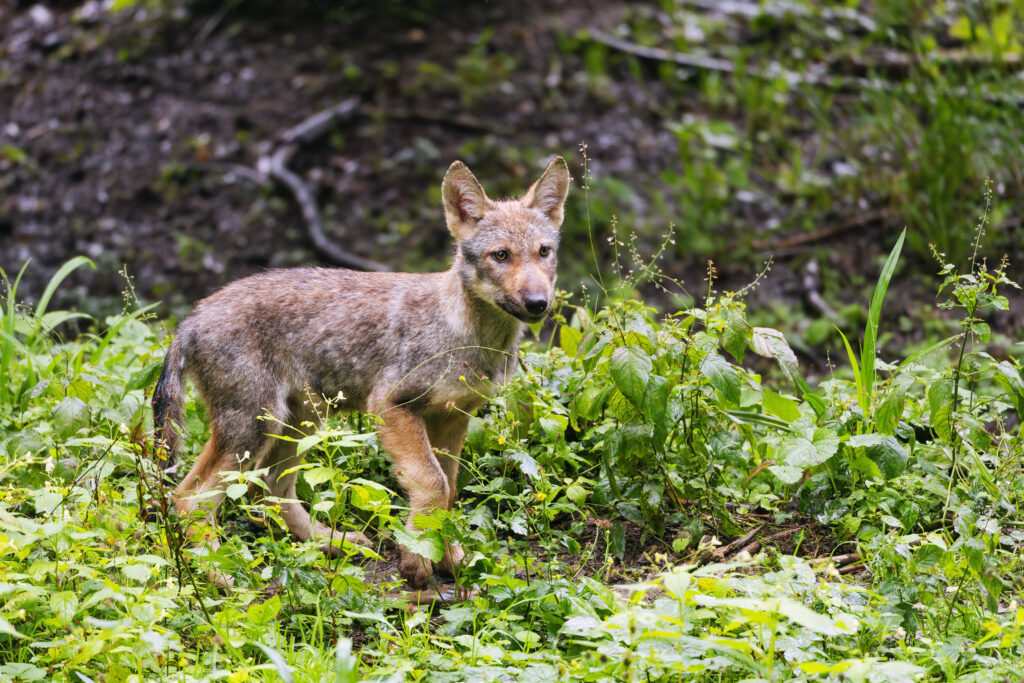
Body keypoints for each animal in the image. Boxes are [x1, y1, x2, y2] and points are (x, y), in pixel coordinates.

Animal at [152, 156, 569, 588]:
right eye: (500, 255)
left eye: (543, 252)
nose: (538, 303)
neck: (468, 336)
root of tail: (189, 320)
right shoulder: (390, 406)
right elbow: (432, 484)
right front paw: (417, 561)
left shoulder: (452, 417)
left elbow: (449, 489)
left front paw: (448, 556)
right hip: (254, 428)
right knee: (187, 498)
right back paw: (218, 574)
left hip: (296, 423)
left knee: (269, 489)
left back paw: (330, 543)